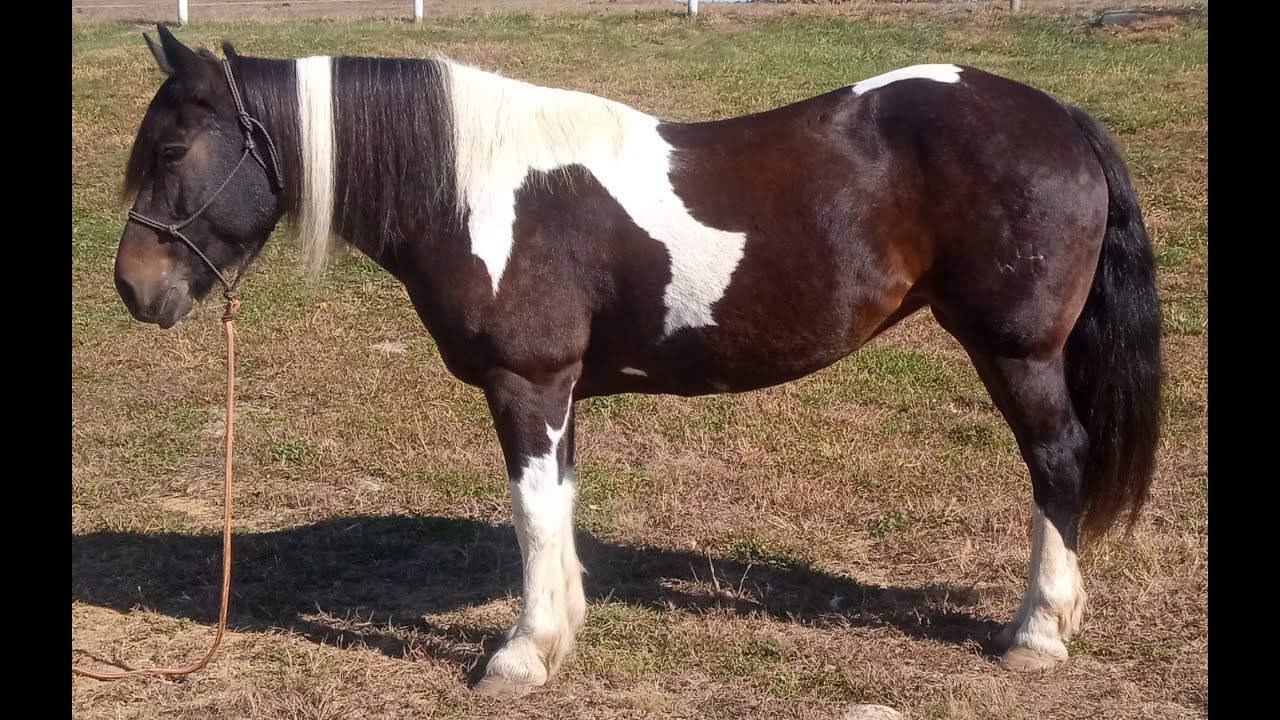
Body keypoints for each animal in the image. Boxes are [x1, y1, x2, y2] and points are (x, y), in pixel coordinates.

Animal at [114, 25, 1161, 700]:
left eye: (173, 148)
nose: (133, 289)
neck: (476, 190)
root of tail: (1057, 117)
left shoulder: (527, 384)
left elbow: (533, 513)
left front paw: (521, 656)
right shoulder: (560, 392)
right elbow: (559, 511)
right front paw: (561, 634)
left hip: (1017, 352)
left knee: (1057, 463)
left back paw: (1035, 635)